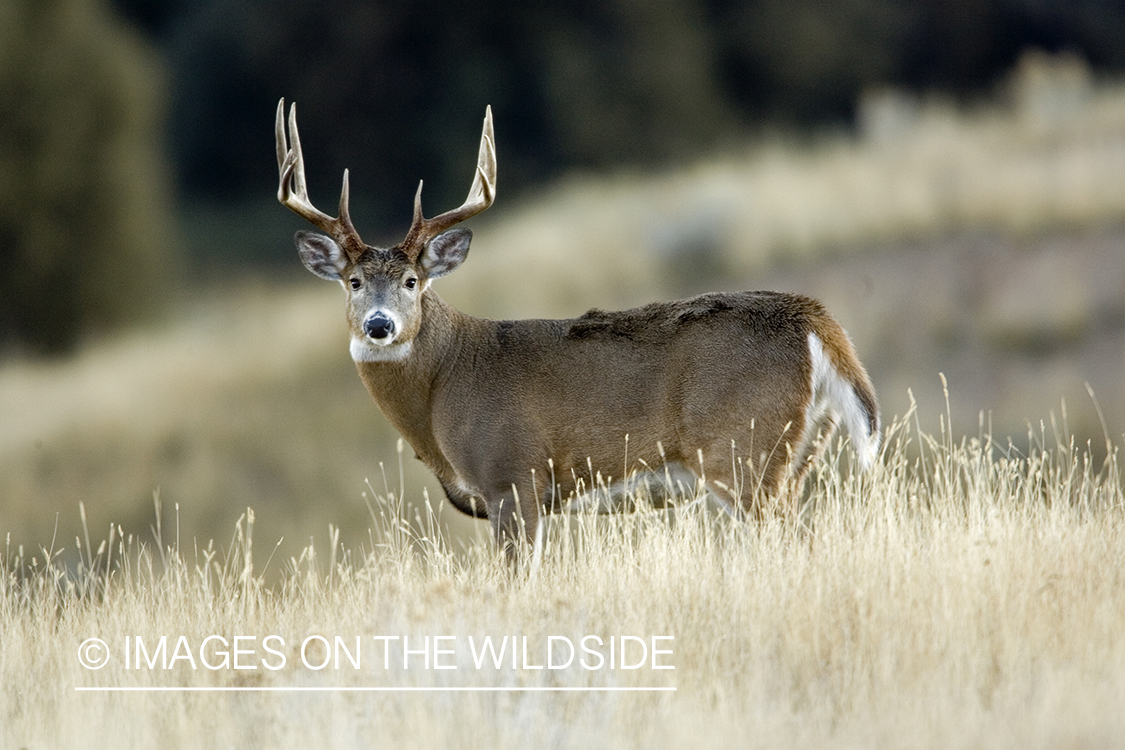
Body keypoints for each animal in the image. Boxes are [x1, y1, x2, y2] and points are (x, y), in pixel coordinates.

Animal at [272, 99, 877, 557]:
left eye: (412, 280)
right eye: (352, 282)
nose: (379, 325)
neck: (444, 383)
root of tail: (816, 321)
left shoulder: (513, 476)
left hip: (742, 451)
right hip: (799, 452)